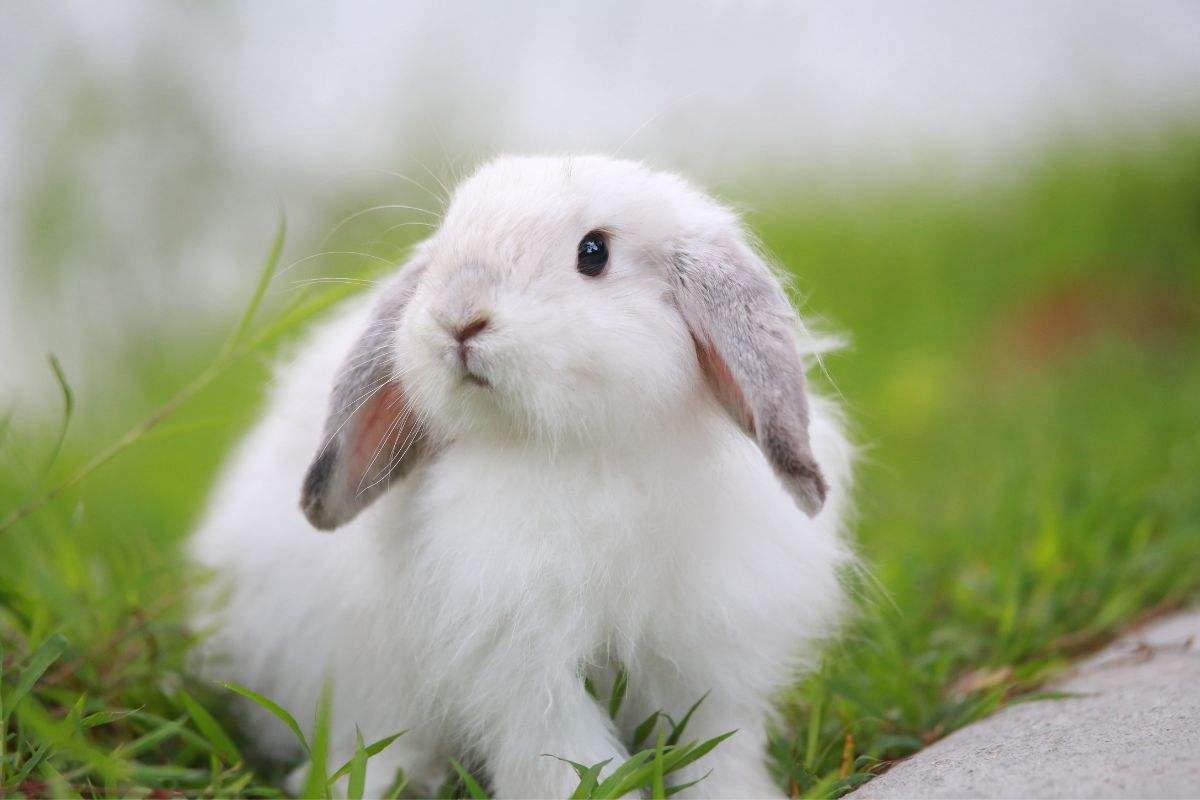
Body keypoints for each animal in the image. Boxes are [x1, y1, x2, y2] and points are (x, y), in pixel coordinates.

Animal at [189, 154, 855, 799]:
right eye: (447, 238)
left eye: (594, 252)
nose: (459, 319)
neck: (583, 450)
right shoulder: (524, 669)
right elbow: (563, 756)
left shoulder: (710, 659)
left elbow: (718, 748)